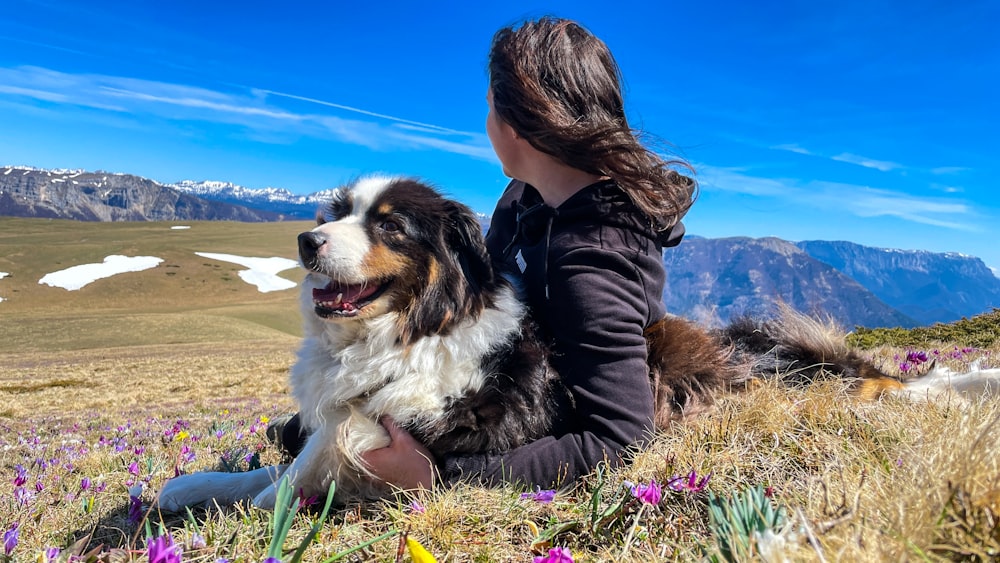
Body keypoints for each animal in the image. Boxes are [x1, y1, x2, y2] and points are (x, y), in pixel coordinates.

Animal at [160, 176, 980, 512]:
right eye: (335, 213)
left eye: (389, 225)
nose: (304, 242)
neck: (413, 330)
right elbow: (275, 468)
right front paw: (185, 487)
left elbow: (295, 474)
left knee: (880, 387)